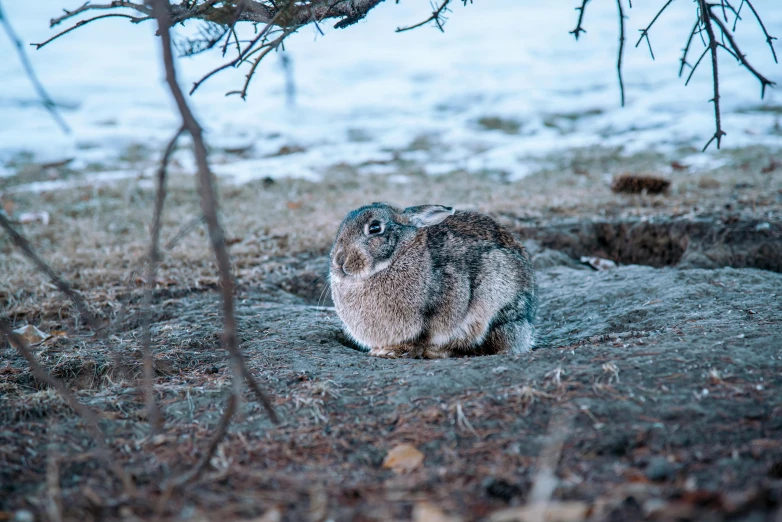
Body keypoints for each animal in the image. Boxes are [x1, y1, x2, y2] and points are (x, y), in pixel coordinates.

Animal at [330, 200, 540, 358]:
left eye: (375, 228)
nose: (339, 260)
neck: (395, 257)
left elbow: (424, 336)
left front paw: (390, 352)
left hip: (499, 308)